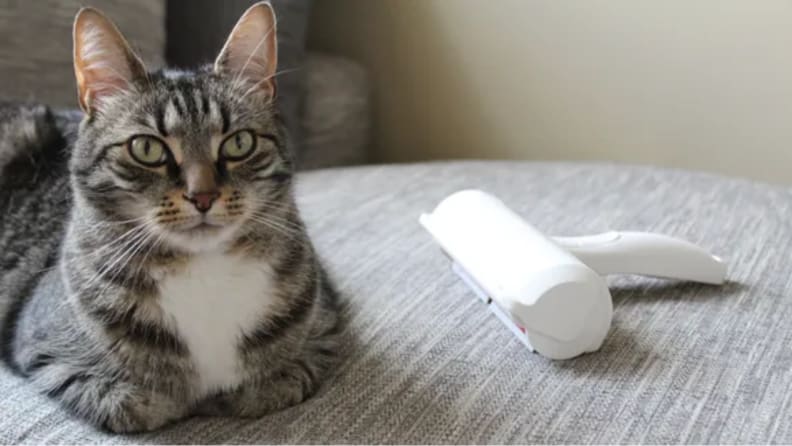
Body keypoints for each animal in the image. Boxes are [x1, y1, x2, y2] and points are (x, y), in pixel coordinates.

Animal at [0, 0, 338, 432]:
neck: (203, 270)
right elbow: (136, 404)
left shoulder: (325, 325)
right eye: (147, 149)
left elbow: (282, 382)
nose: (203, 195)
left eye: (239, 143)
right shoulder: (46, 349)